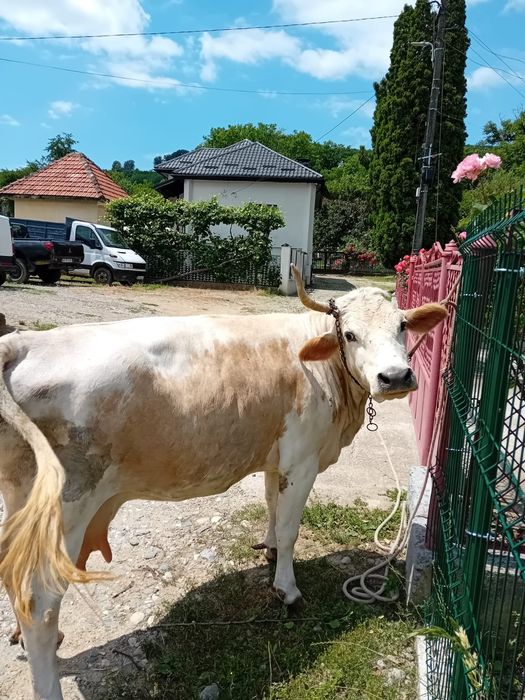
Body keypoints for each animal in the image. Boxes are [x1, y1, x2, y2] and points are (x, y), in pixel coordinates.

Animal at [0, 266, 447, 699]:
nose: (396, 377)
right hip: (69, 505)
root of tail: (24, 342)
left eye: (402, 326)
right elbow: (290, 529)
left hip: (23, 499)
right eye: (350, 334)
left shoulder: (275, 458)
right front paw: (287, 588)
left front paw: (268, 549)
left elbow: (271, 506)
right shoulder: (301, 461)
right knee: (40, 602)